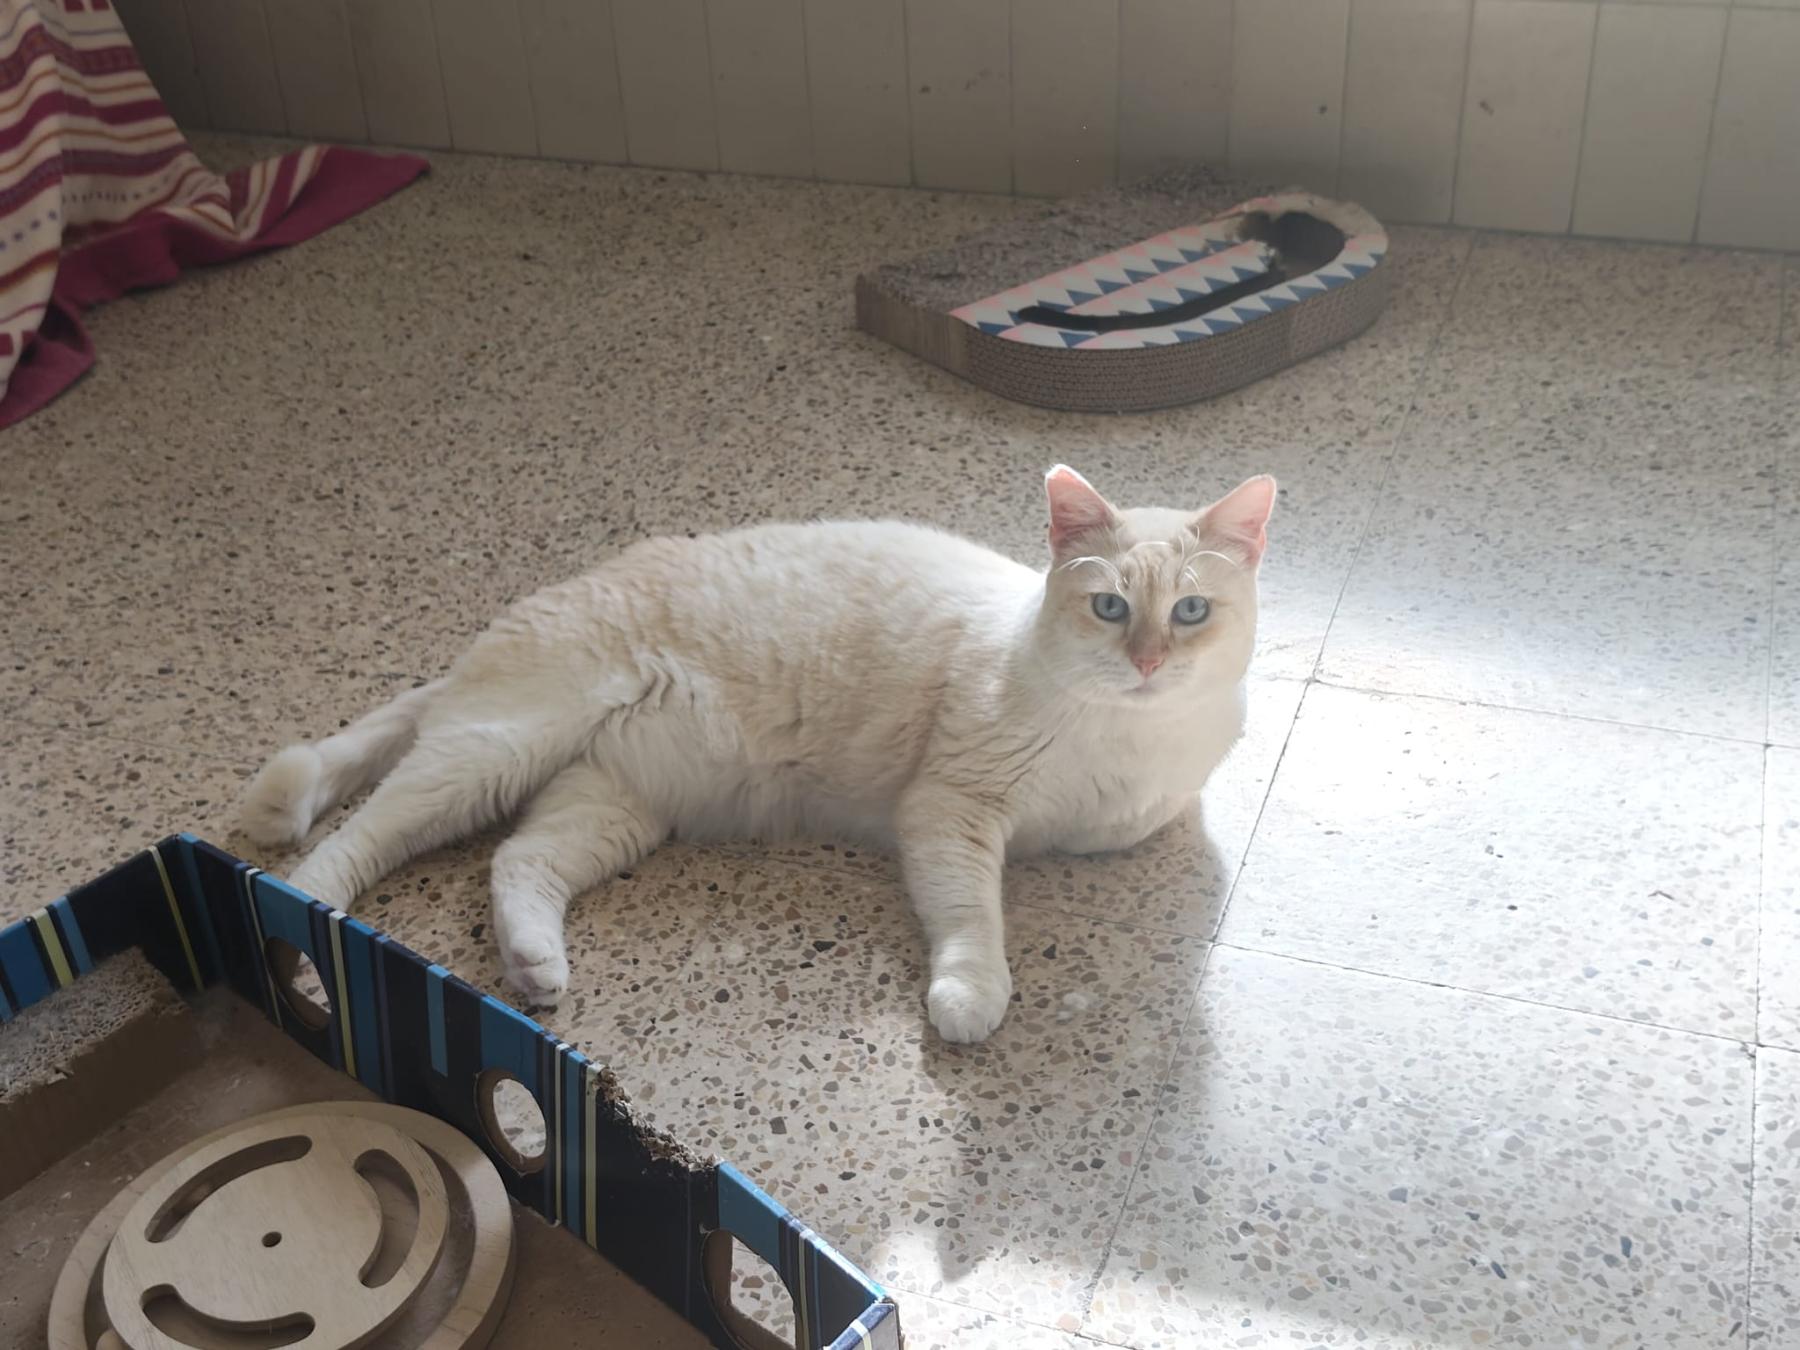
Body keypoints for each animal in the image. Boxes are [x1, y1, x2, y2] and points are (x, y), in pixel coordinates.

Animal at [241, 466, 1275, 1043]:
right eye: (1110, 607)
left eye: (1191, 611)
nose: (1148, 662)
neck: (1125, 735)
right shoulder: (951, 812)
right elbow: (971, 917)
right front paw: (971, 994)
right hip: (489, 754)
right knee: (353, 839)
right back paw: (304, 928)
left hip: (612, 806)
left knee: (516, 860)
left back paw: (534, 968)